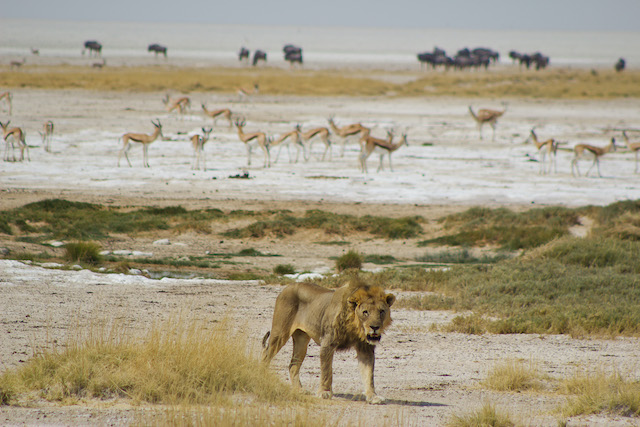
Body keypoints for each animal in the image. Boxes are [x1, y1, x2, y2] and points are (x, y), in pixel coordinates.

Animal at [262, 280, 396, 406]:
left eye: (381, 311)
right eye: (365, 312)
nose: (375, 327)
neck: (355, 327)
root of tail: (289, 285)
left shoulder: (365, 348)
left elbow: (369, 374)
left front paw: (373, 396)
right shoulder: (327, 342)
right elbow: (327, 370)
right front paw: (324, 392)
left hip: (302, 340)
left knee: (293, 365)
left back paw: (300, 390)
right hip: (279, 333)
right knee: (266, 355)